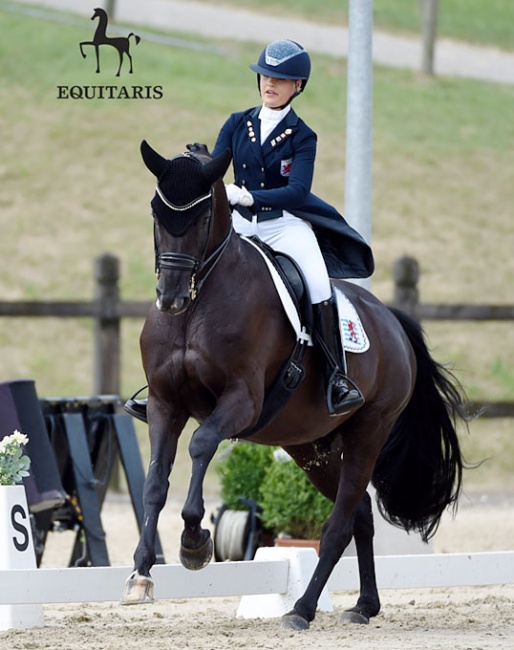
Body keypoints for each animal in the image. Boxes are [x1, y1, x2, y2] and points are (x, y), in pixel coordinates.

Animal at [121, 140, 468, 628]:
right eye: (156, 213)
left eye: (203, 216)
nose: (170, 299)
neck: (198, 305)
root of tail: (391, 321)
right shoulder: (164, 404)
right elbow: (155, 481)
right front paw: (140, 574)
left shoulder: (241, 401)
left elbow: (201, 444)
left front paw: (194, 542)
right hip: (309, 447)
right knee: (360, 513)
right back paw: (364, 605)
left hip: (368, 431)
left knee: (338, 524)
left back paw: (302, 609)